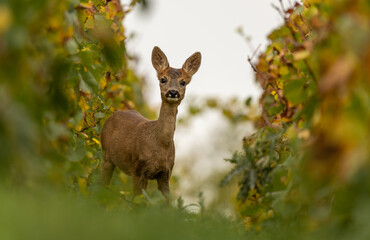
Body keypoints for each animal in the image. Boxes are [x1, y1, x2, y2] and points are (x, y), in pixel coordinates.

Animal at [99, 45, 201, 199]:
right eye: (163, 79)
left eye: (183, 82)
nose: (173, 92)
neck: (159, 146)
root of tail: (113, 113)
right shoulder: (137, 168)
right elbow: (136, 201)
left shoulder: (166, 173)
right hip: (106, 155)